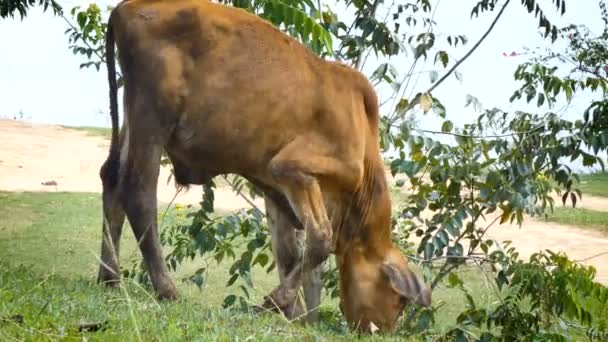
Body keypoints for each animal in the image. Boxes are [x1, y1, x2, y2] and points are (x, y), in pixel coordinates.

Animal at [97, 0, 430, 332]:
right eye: (400, 300)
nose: (384, 331)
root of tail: (126, 8)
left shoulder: (277, 189)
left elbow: (289, 254)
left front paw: (297, 315)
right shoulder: (293, 168)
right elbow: (320, 240)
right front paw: (273, 304)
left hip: (133, 113)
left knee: (111, 179)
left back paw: (109, 278)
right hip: (153, 114)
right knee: (138, 195)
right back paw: (166, 289)